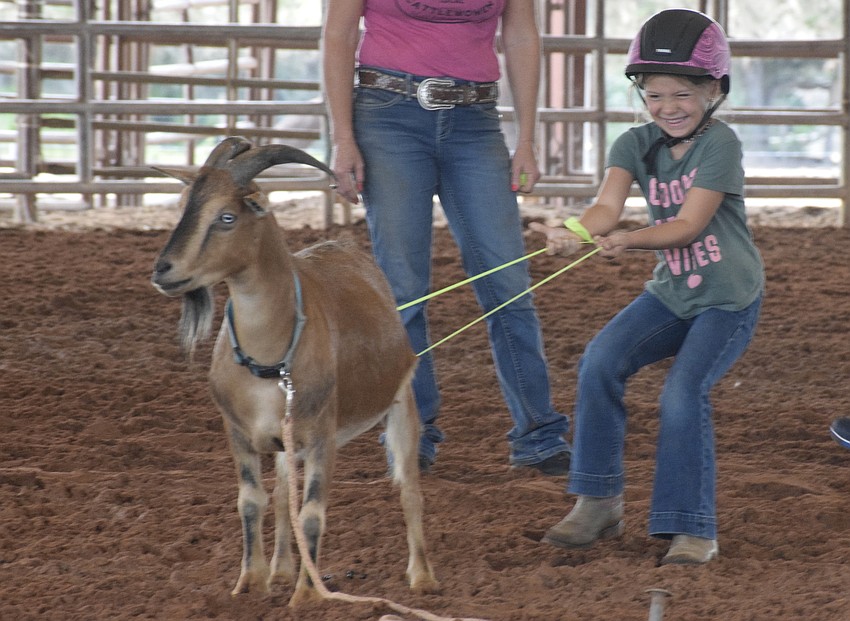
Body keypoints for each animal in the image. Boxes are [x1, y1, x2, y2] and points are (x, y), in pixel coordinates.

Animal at [150, 136, 438, 606]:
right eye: (182, 206)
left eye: (226, 216)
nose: (163, 270)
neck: (269, 359)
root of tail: (344, 245)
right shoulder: (239, 431)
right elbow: (253, 500)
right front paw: (249, 583)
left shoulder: (323, 435)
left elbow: (312, 512)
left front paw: (307, 595)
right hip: (286, 440)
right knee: (285, 490)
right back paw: (282, 569)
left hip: (401, 402)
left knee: (408, 488)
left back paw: (422, 577)